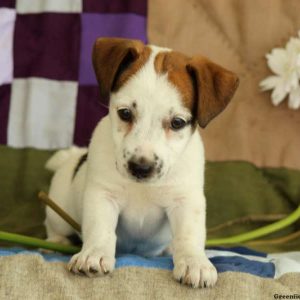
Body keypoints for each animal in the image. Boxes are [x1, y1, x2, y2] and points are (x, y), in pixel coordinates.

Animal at [44, 37, 238, 288]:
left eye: (177, 123)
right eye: (125, 113)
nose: (141, 167)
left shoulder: (185, 201)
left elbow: (189, 234)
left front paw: (194, 261)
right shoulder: (103, 196)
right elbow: (100, 229)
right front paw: (94, 253)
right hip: (58, 209)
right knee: (54, 226)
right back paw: (57, 242)